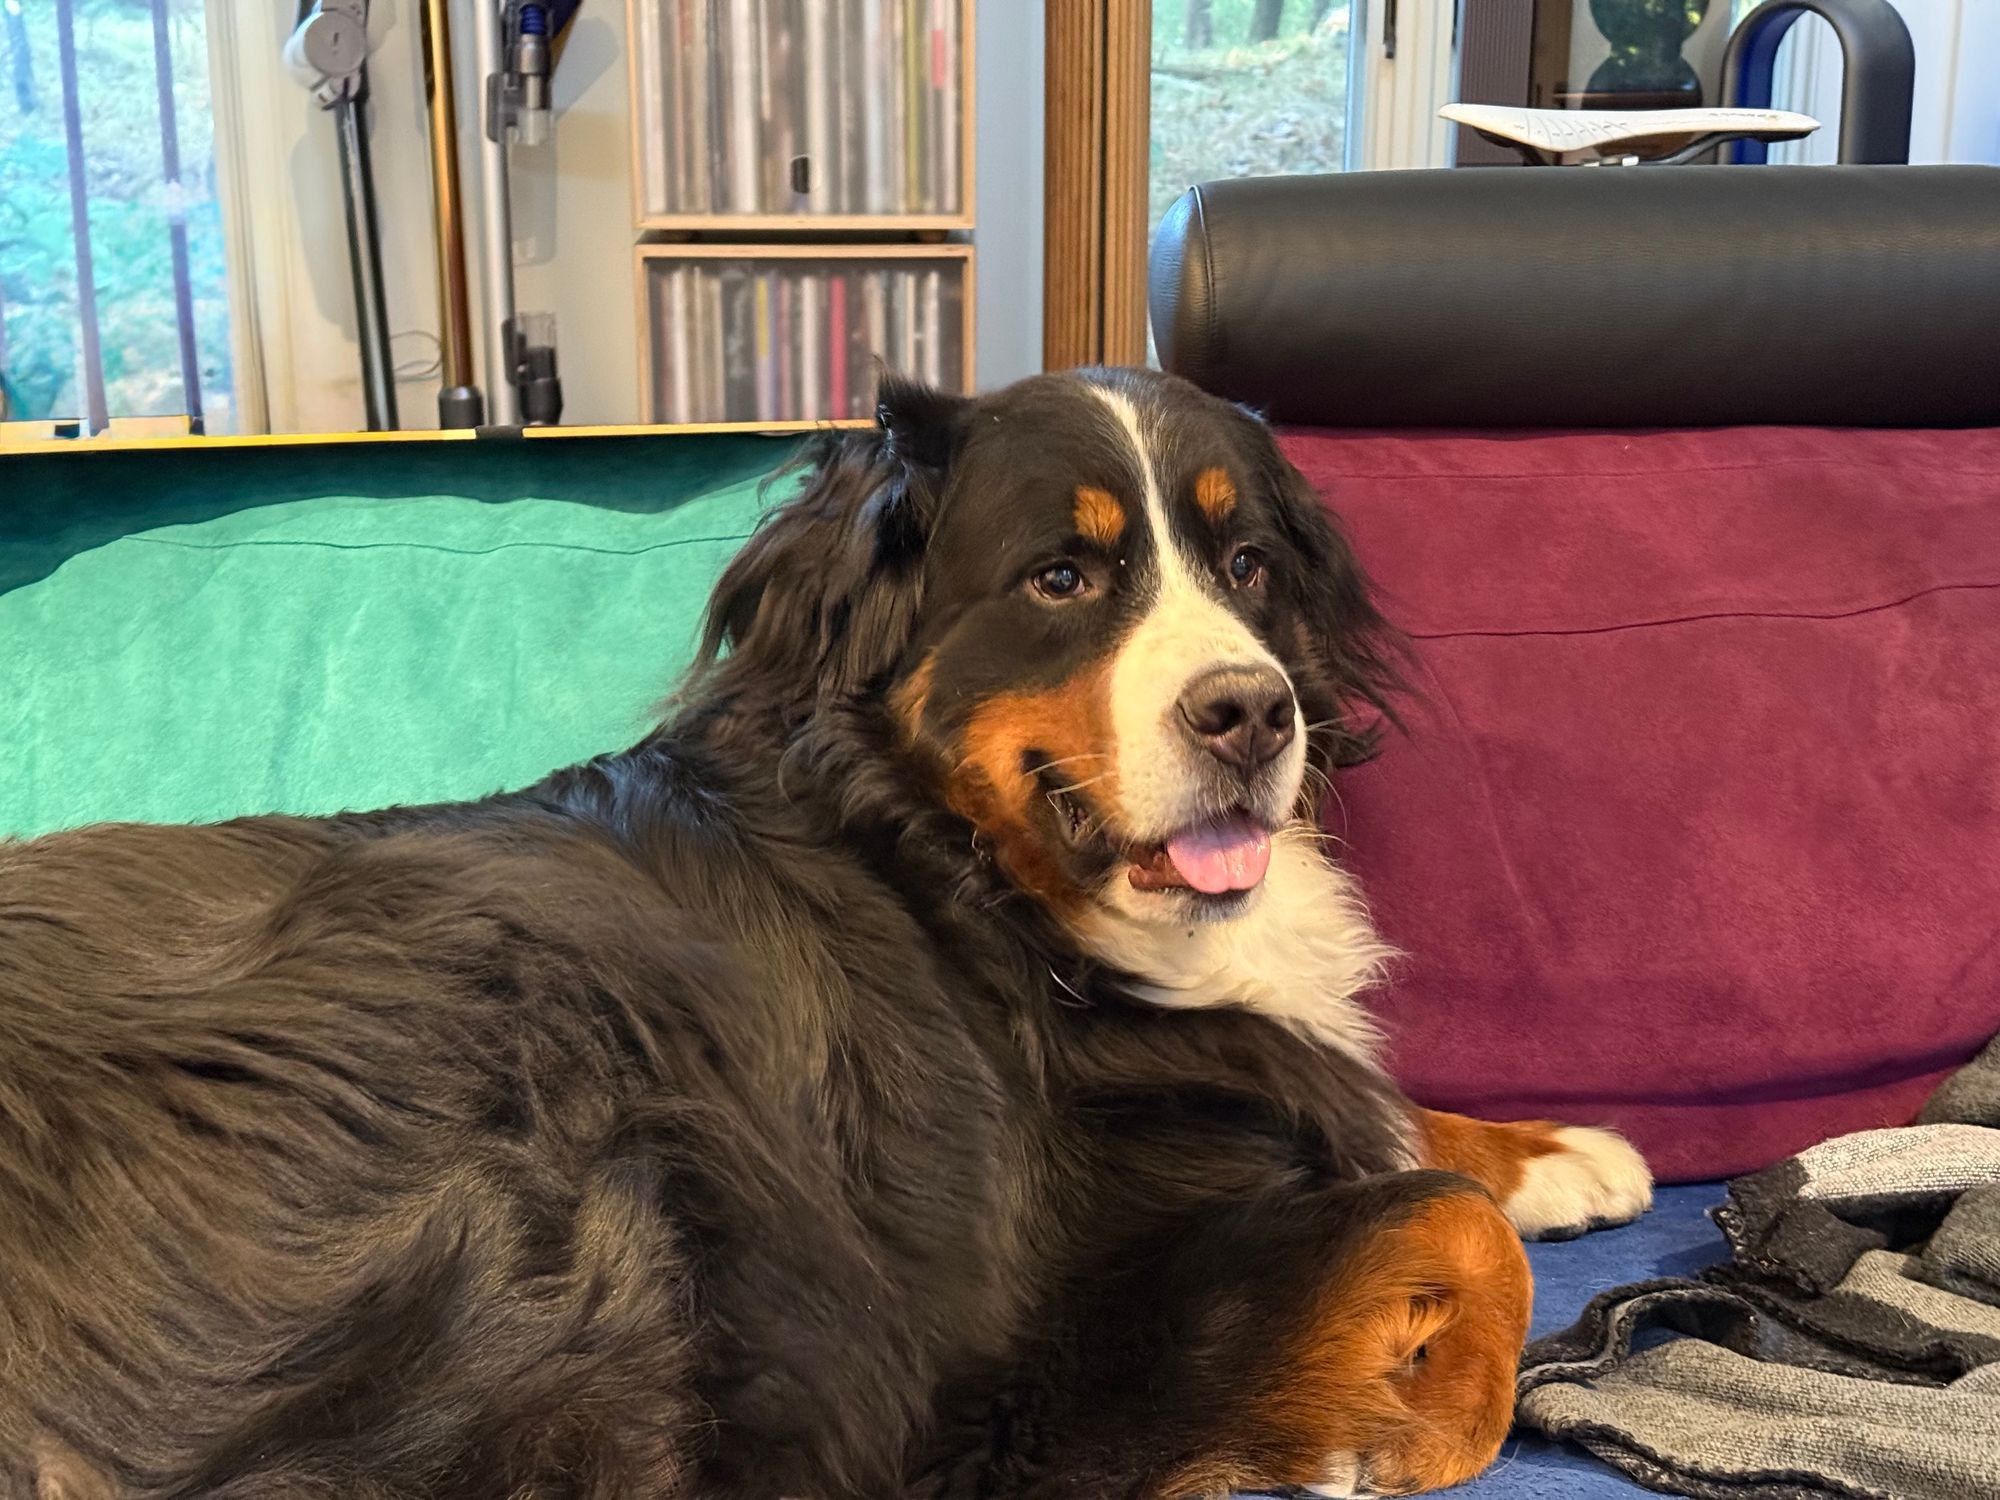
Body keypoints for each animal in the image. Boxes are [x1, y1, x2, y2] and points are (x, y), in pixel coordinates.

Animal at [0, 368, 1648, 1500]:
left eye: (1247, 568)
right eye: (1061, 578)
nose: (1254, 712)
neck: (969, 883)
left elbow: (1398, 1127)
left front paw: (1558, 1151)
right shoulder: (1044, 1359)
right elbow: (1436, 1216)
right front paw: (1410, 1422)